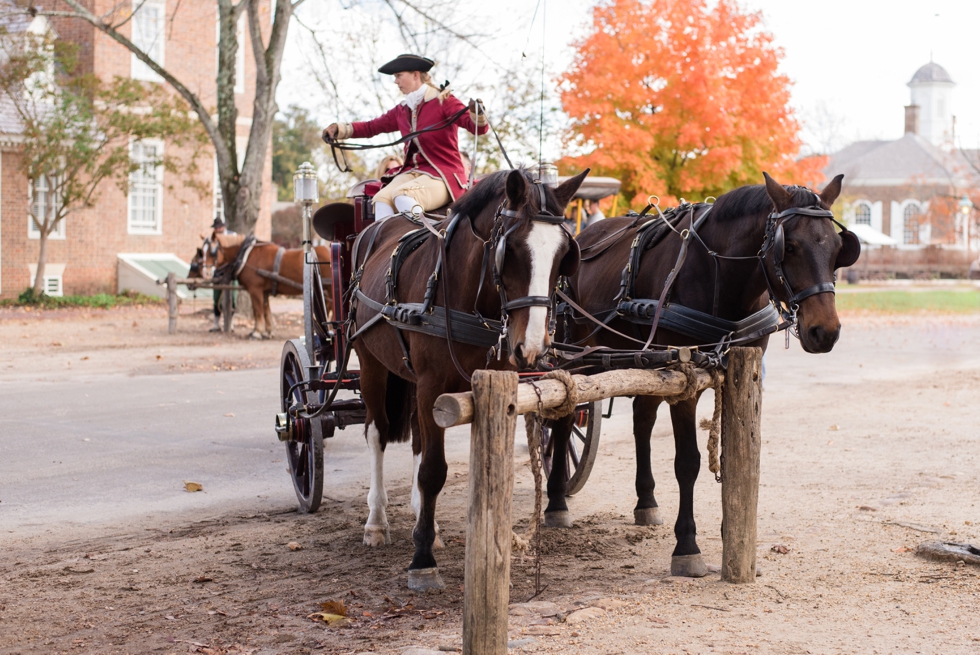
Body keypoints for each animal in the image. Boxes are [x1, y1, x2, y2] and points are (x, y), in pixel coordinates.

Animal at [352, 167, 588, 592]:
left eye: (564, 256)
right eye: (512, 250)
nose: (532, 346)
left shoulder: (498, 383)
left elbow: (490, 469)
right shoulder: (431, 384)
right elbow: (433, 471)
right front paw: (422, 561)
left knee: (417, 437)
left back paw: (422, 520)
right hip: (370, 364)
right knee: (377, 432)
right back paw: (377, 521)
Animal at [548, 173, 860, 580]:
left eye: (839, 248)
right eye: (789, 247)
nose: (826, 331)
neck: (719, 274)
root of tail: (581, 236)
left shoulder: (739, 371)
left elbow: (735, 455)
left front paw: (734, 534)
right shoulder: (686, 380)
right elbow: (688, 462)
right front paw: (687, 546)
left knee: (641, 422)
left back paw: (646, 501)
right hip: (573, 355)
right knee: (563, 420)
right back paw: (556, 502)